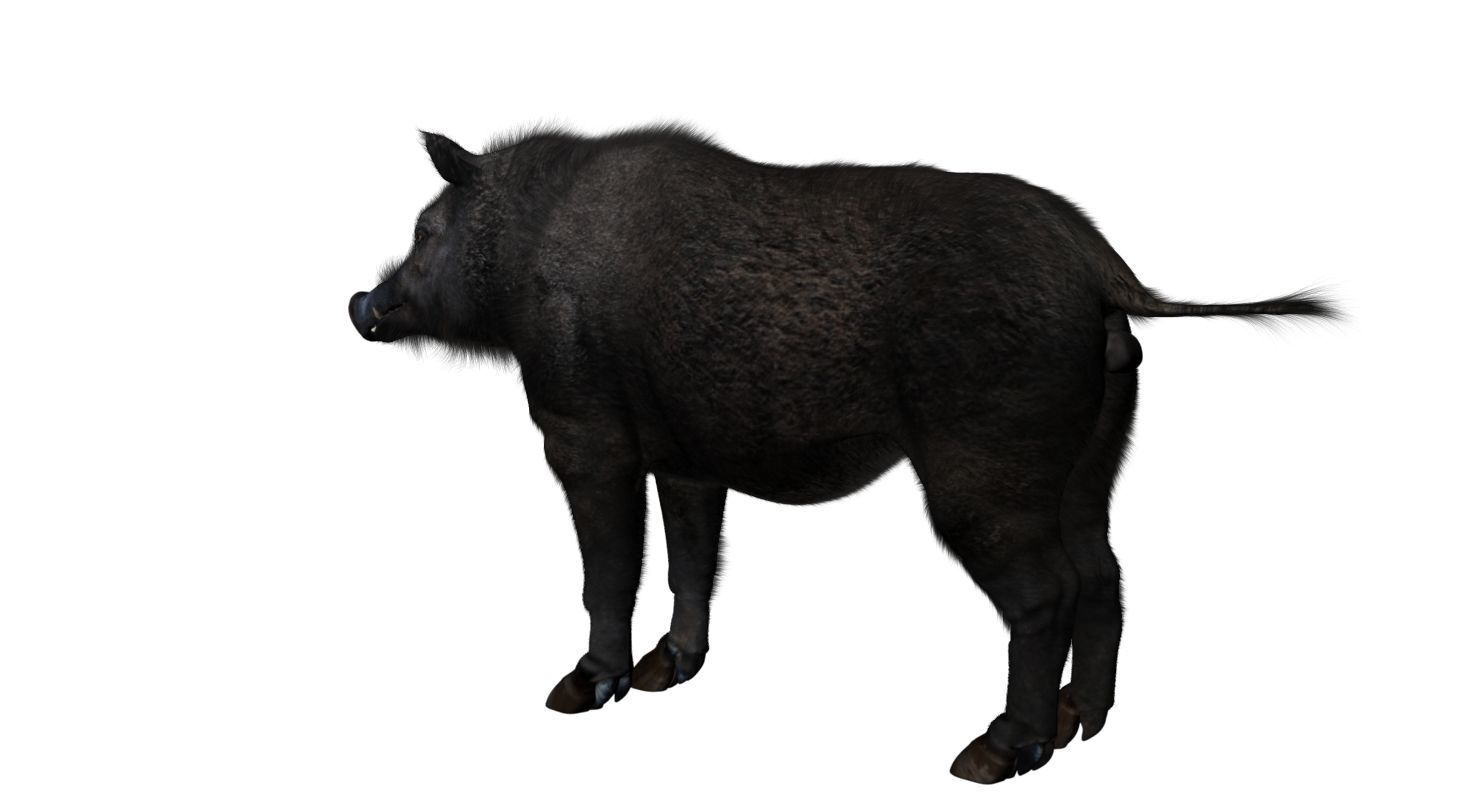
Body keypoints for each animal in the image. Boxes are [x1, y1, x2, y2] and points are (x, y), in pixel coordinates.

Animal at [347, 125, 1335, 785]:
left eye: (428, 231)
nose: (362, 303)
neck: (524, 269)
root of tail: (1104, 269)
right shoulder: (689, 456)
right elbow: (691, 560)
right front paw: (671, 673)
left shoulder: (583, 436)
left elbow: (610, 571)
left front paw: (576, 692)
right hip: (1091, 460)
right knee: (1105, 571)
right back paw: (1081, 727)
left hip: (984, 467)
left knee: (1046, 591)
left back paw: (992, 754)